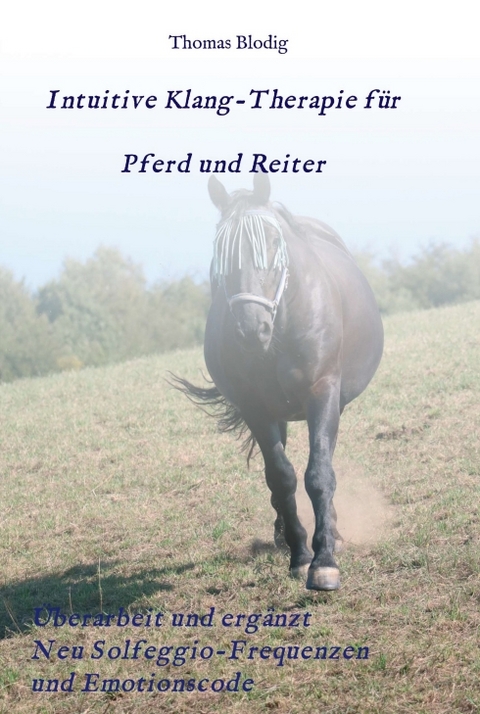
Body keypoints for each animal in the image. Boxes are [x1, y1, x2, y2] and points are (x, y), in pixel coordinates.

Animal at [175, 174, 383, 590]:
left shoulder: (323, 393)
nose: (250, 329)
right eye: (220, 250)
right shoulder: (256, 408)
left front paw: (324, 559)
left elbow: (318, 474)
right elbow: (281, 477)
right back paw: (283, 534)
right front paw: (300, 553)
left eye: (272, 242)